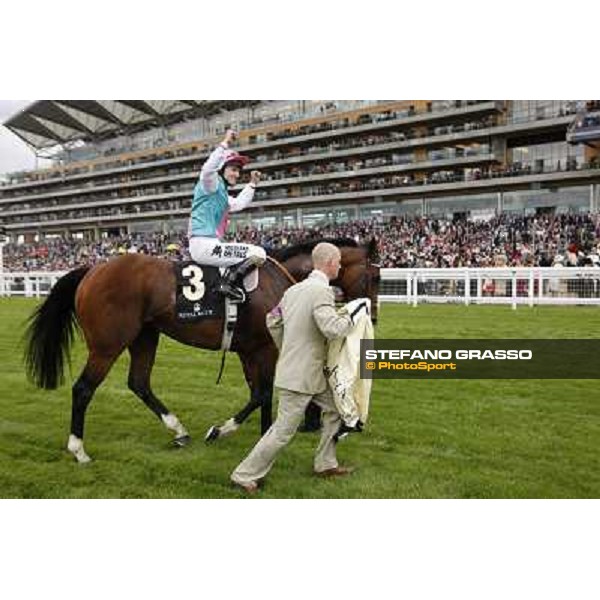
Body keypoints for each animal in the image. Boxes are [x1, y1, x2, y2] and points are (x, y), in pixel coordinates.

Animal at [24, 237, 380, 462]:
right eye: (375, 276)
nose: (373, 315)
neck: (279, 281)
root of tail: (92, 270)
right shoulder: (263, 348)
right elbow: (262, 394)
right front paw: (223, 431)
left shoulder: (249, 350)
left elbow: (259, 393)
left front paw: (263, 433)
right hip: (107, 344)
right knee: (83, 388)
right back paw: (78, 449)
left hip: (145, 336)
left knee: (139, 382)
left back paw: (178, 431)